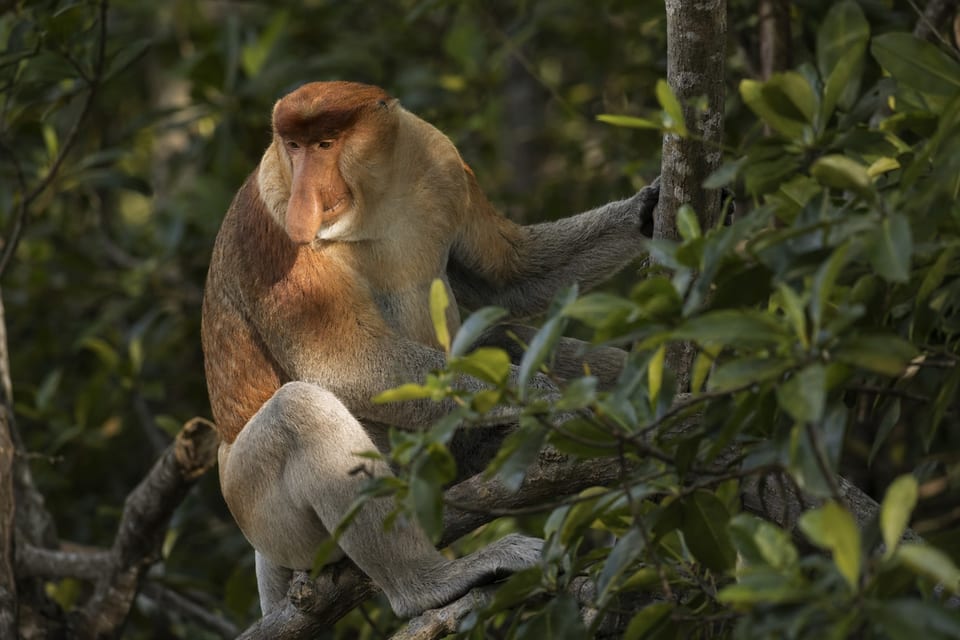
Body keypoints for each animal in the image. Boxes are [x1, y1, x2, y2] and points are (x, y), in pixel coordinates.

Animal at [200, 80, 661, 618]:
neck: (373, 204)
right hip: (262, 510)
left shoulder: (443, 163)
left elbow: (509, 277)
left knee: (500, 337)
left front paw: (648, 211)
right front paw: (556, 403)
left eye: (325, 143)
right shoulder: (273, 228)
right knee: (299, 410)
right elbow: (340, 364)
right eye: (293, 147)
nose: (306, 196)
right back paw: (434, 583)